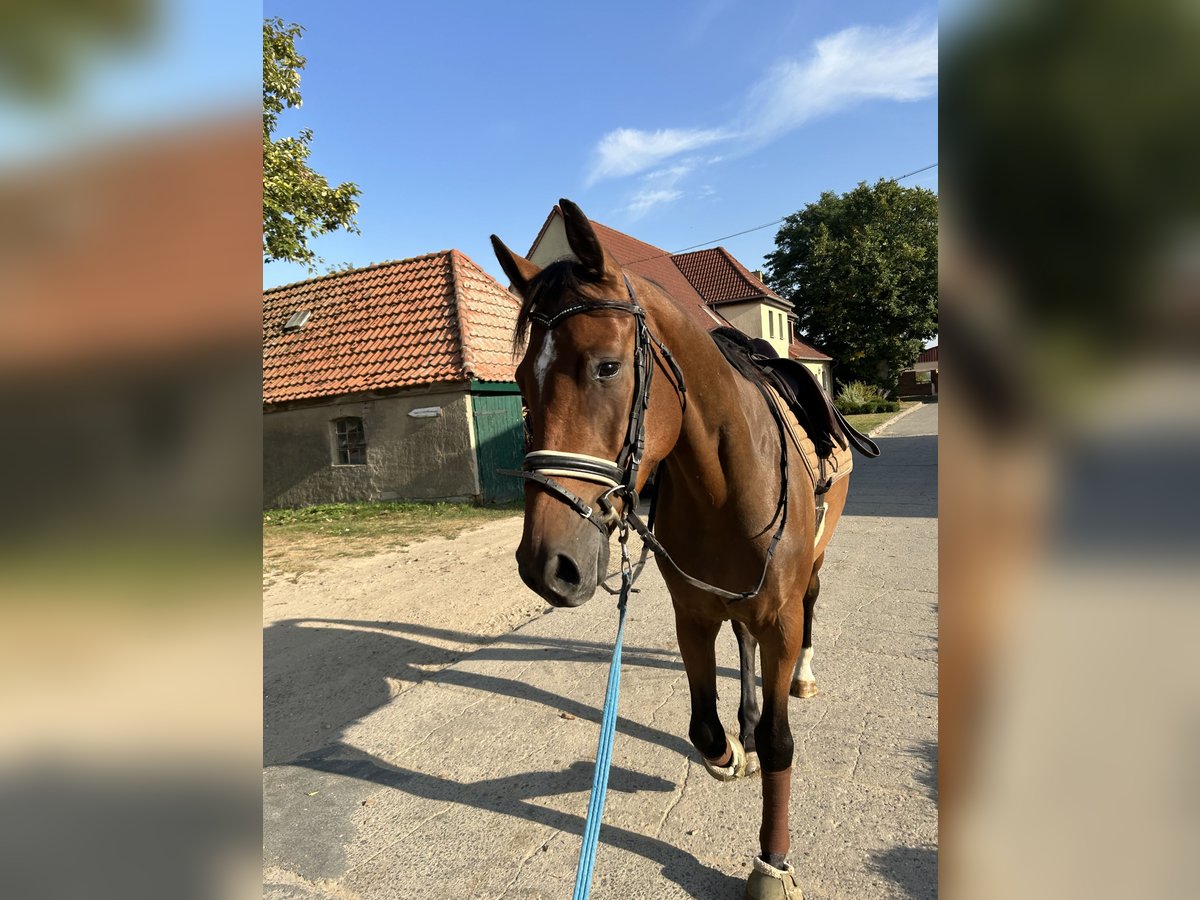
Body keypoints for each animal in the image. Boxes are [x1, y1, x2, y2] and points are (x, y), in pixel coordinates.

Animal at [489, 202, 854, 900]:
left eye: (606, 366)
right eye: (520, 379)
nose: (546, 566)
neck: (728, 483)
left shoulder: (779, 616)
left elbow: (781, 742)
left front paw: (772, 863)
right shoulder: (695, 614)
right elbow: (703, 725)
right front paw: (731, 752)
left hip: (810, 575)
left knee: (813, 607)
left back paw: (801, 678)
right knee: (742, 643)